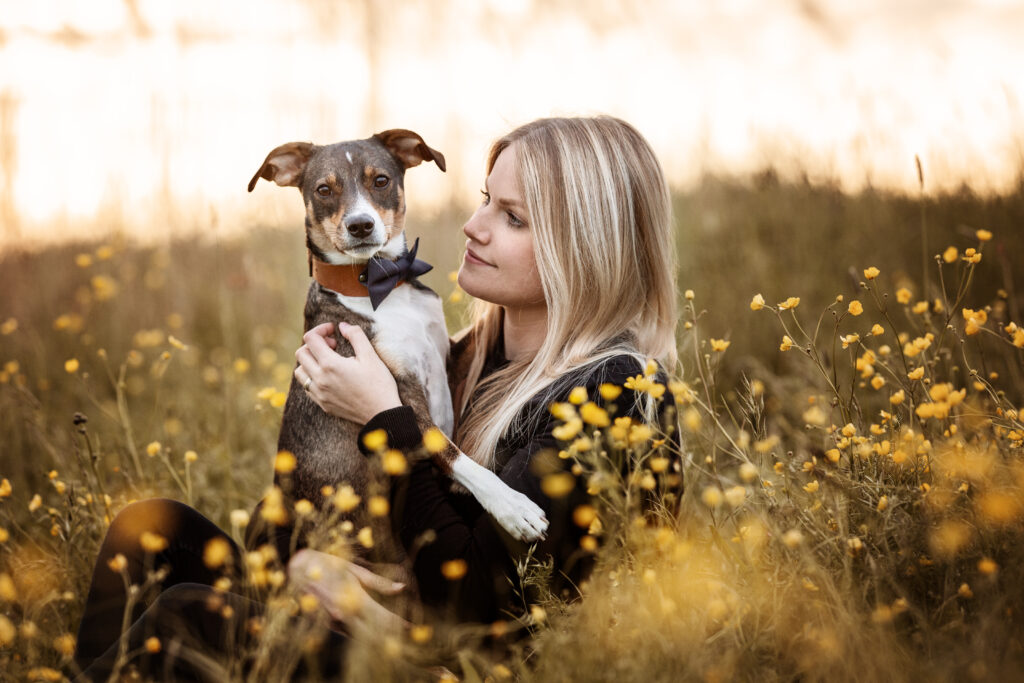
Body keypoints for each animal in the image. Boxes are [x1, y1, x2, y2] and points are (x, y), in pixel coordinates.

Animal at [244, 129, 548, 565]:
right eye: (323, 190)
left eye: (381, 180)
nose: (360, 225)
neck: (379, 283)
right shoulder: (405, 394)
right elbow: (453, 454)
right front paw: (512, 505)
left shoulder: (447, 355)